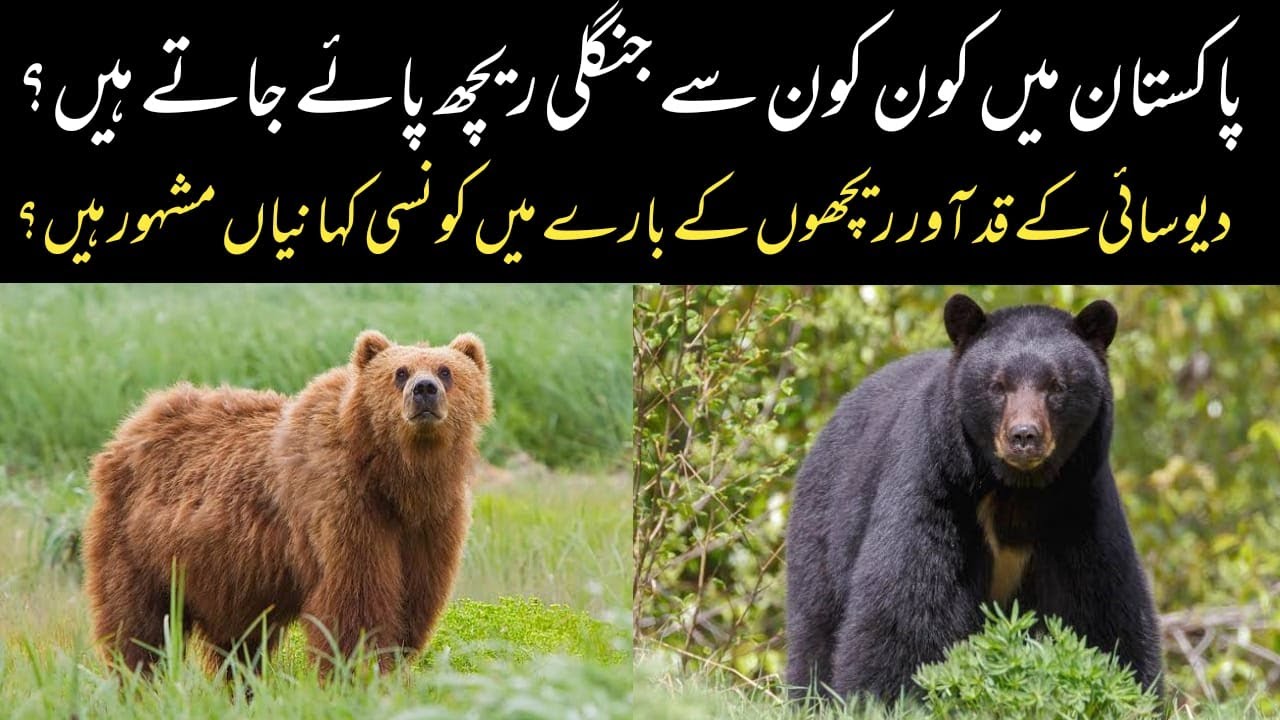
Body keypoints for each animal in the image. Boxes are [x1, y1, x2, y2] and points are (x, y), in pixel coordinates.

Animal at [83, 329, 492, 677]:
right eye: (399, 372)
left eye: (446, 370)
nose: (424, 390)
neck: (397, 480)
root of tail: (133, 423)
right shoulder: (342, 506)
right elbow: (355, 603)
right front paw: (357, 672)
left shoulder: (431, 523)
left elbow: (413, 602)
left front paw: (392, 667)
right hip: (139, 545)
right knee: (138, 626)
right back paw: (138, 681)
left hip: (227, 576)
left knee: (239, 645)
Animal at [784, 294, 1162, 703]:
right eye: (998, 385)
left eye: (1057, 386)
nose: (1024, 436)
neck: (1016, 490)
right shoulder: (937, 487)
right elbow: (908, 604)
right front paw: (884, 697)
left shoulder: (1078, 504)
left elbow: (1101, 608)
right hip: (825, 523)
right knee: (817, 622)